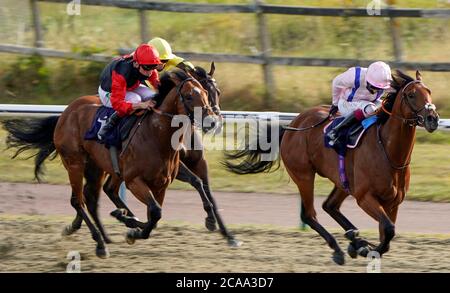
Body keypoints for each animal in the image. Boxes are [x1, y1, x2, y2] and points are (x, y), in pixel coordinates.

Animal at [2, 69, 221, 256]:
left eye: (206, 93)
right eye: (190, 96)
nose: (212, 121)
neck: (156, 134)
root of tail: (65, 113)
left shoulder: (162, 183)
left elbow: (159, 212)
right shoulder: (134, 181)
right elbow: (155, 212)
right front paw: (130, 226)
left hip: (97, 166)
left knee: (96, 196)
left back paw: (109, 231)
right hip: (75, 163)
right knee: (78, 200)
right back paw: (100, 243)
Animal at [224, 70, 440, 264]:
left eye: (429, 91)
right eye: (411, 94)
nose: (433, 119)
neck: (388, 152)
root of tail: (292, 125)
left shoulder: (393, 202)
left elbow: (387, 234)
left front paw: (363, 246)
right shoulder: (365, 197)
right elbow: (388, 230)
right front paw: (366, 250)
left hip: (342, 180)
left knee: (329, 205)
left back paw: (355, 238)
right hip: (303, 175)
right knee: (309, 214)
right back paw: (339, 248)